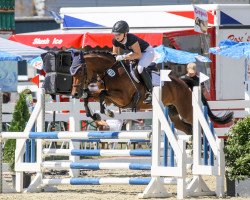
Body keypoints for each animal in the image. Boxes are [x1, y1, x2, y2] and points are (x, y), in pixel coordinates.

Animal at [70, 50, 232, 135]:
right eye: (71, 72)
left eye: (80, 71)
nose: (75, 94)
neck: (111, 72)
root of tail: (182, 82)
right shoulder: (112, 98)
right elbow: (93, 95)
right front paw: (95, 114)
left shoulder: (124, 98)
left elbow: (103, 94)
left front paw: (107, 112)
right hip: (173, 115)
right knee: (189, 129)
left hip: (186, 111)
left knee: (201, 125)